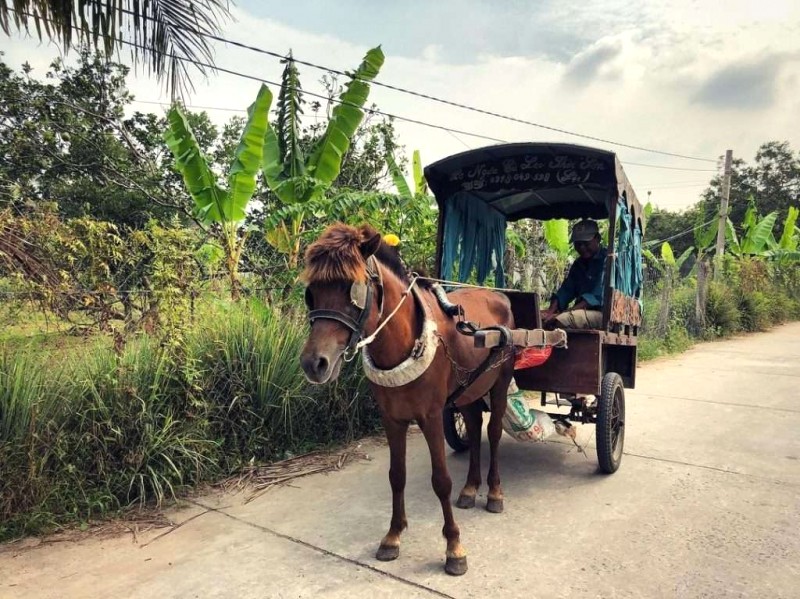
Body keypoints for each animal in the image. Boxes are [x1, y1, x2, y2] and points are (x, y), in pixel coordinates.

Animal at [298, 224, 512, 576]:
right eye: (311, 292)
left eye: (351, 290)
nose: (314, 363)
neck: (403, 342)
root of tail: (499, 295)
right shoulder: (392, 417)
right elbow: (396, 476)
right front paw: (393, 536)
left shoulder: (431, 415)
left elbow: (441, 480)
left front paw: (454, 548)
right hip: (469, 388)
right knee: (473, 424)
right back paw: (470, 488)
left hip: (501, 381)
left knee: (493, 433)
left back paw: (494, 492)